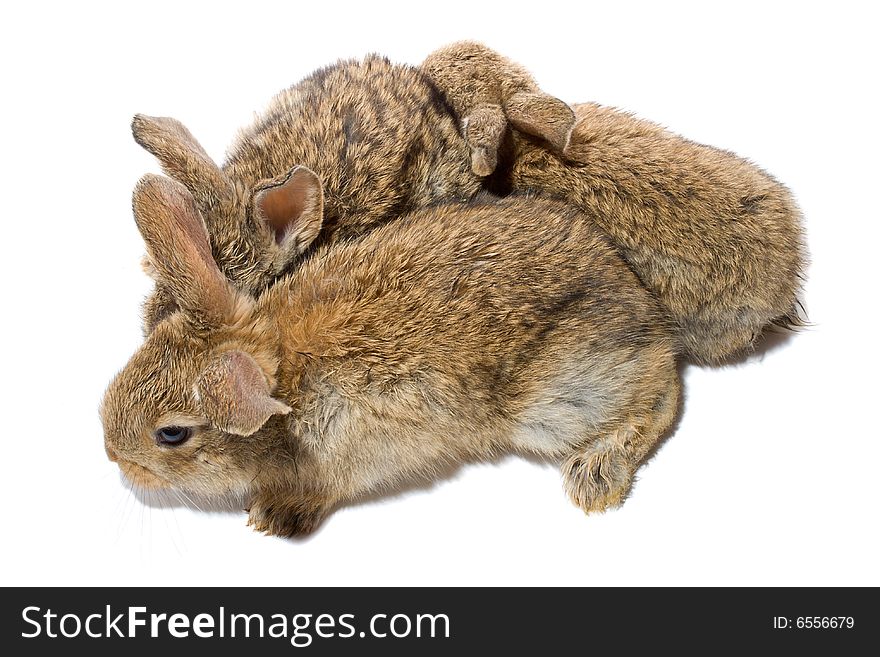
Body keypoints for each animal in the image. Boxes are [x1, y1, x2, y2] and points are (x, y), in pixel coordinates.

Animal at [103, 172, 680, 536]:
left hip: (558, 399)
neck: (284, 381)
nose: (112, 455)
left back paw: (595, 475)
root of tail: (642, 305)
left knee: (660, 400)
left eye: (171, 434)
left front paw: (274, 519)